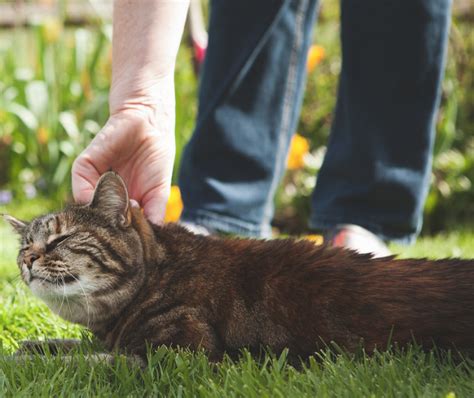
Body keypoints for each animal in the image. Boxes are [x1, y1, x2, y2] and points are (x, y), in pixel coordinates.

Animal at [3, 171, 474, 364]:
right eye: (24, 246)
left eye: (60, 239)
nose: (28, 259)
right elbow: (72, 348)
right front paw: (35, 346)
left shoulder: (180, 354)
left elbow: (84, 361)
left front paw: (18, 363)